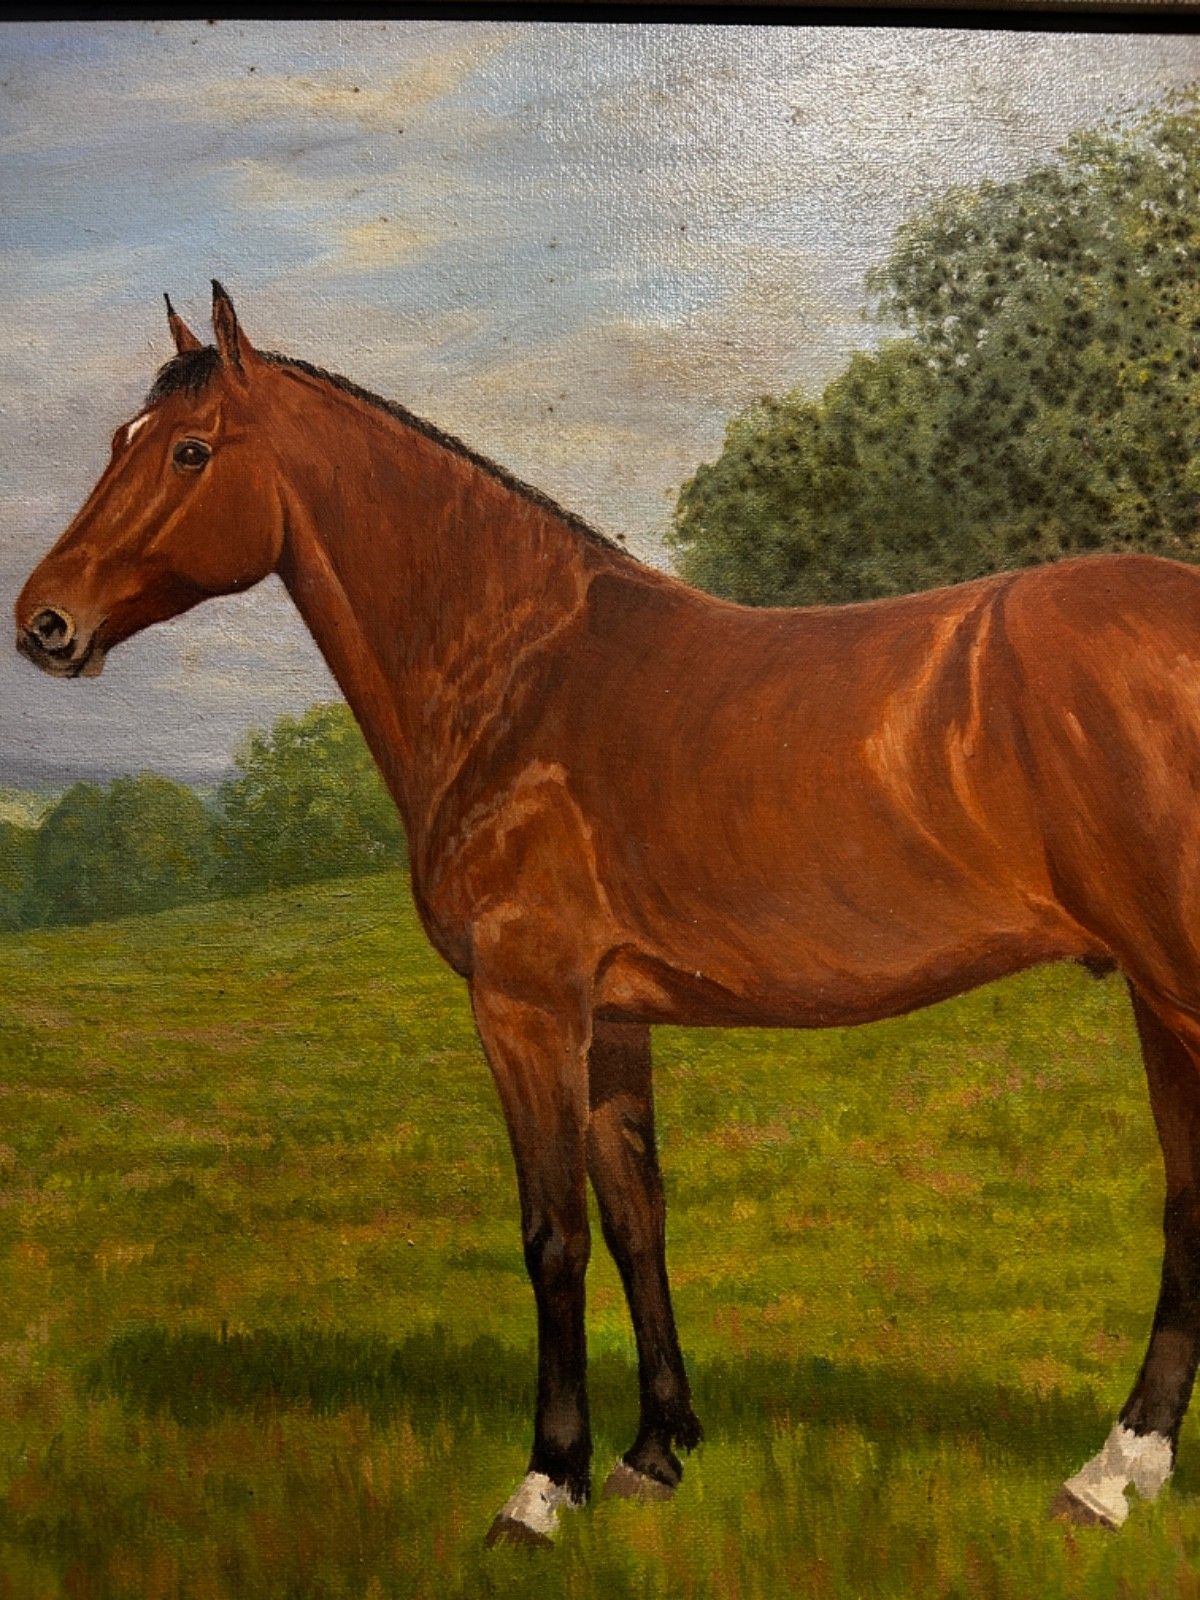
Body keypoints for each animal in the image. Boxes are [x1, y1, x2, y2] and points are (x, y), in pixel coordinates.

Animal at [15, 282, 1200, 1542]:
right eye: (120, 441)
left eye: (190, 451)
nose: (42, 623)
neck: (521, 673)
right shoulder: (614, 1014)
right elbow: (636, 1214)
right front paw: (656, 1450)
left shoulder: (527, 1003)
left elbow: (554, 1237)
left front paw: (546, 1485)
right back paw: (1121, 1468)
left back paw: (1111, 1471)